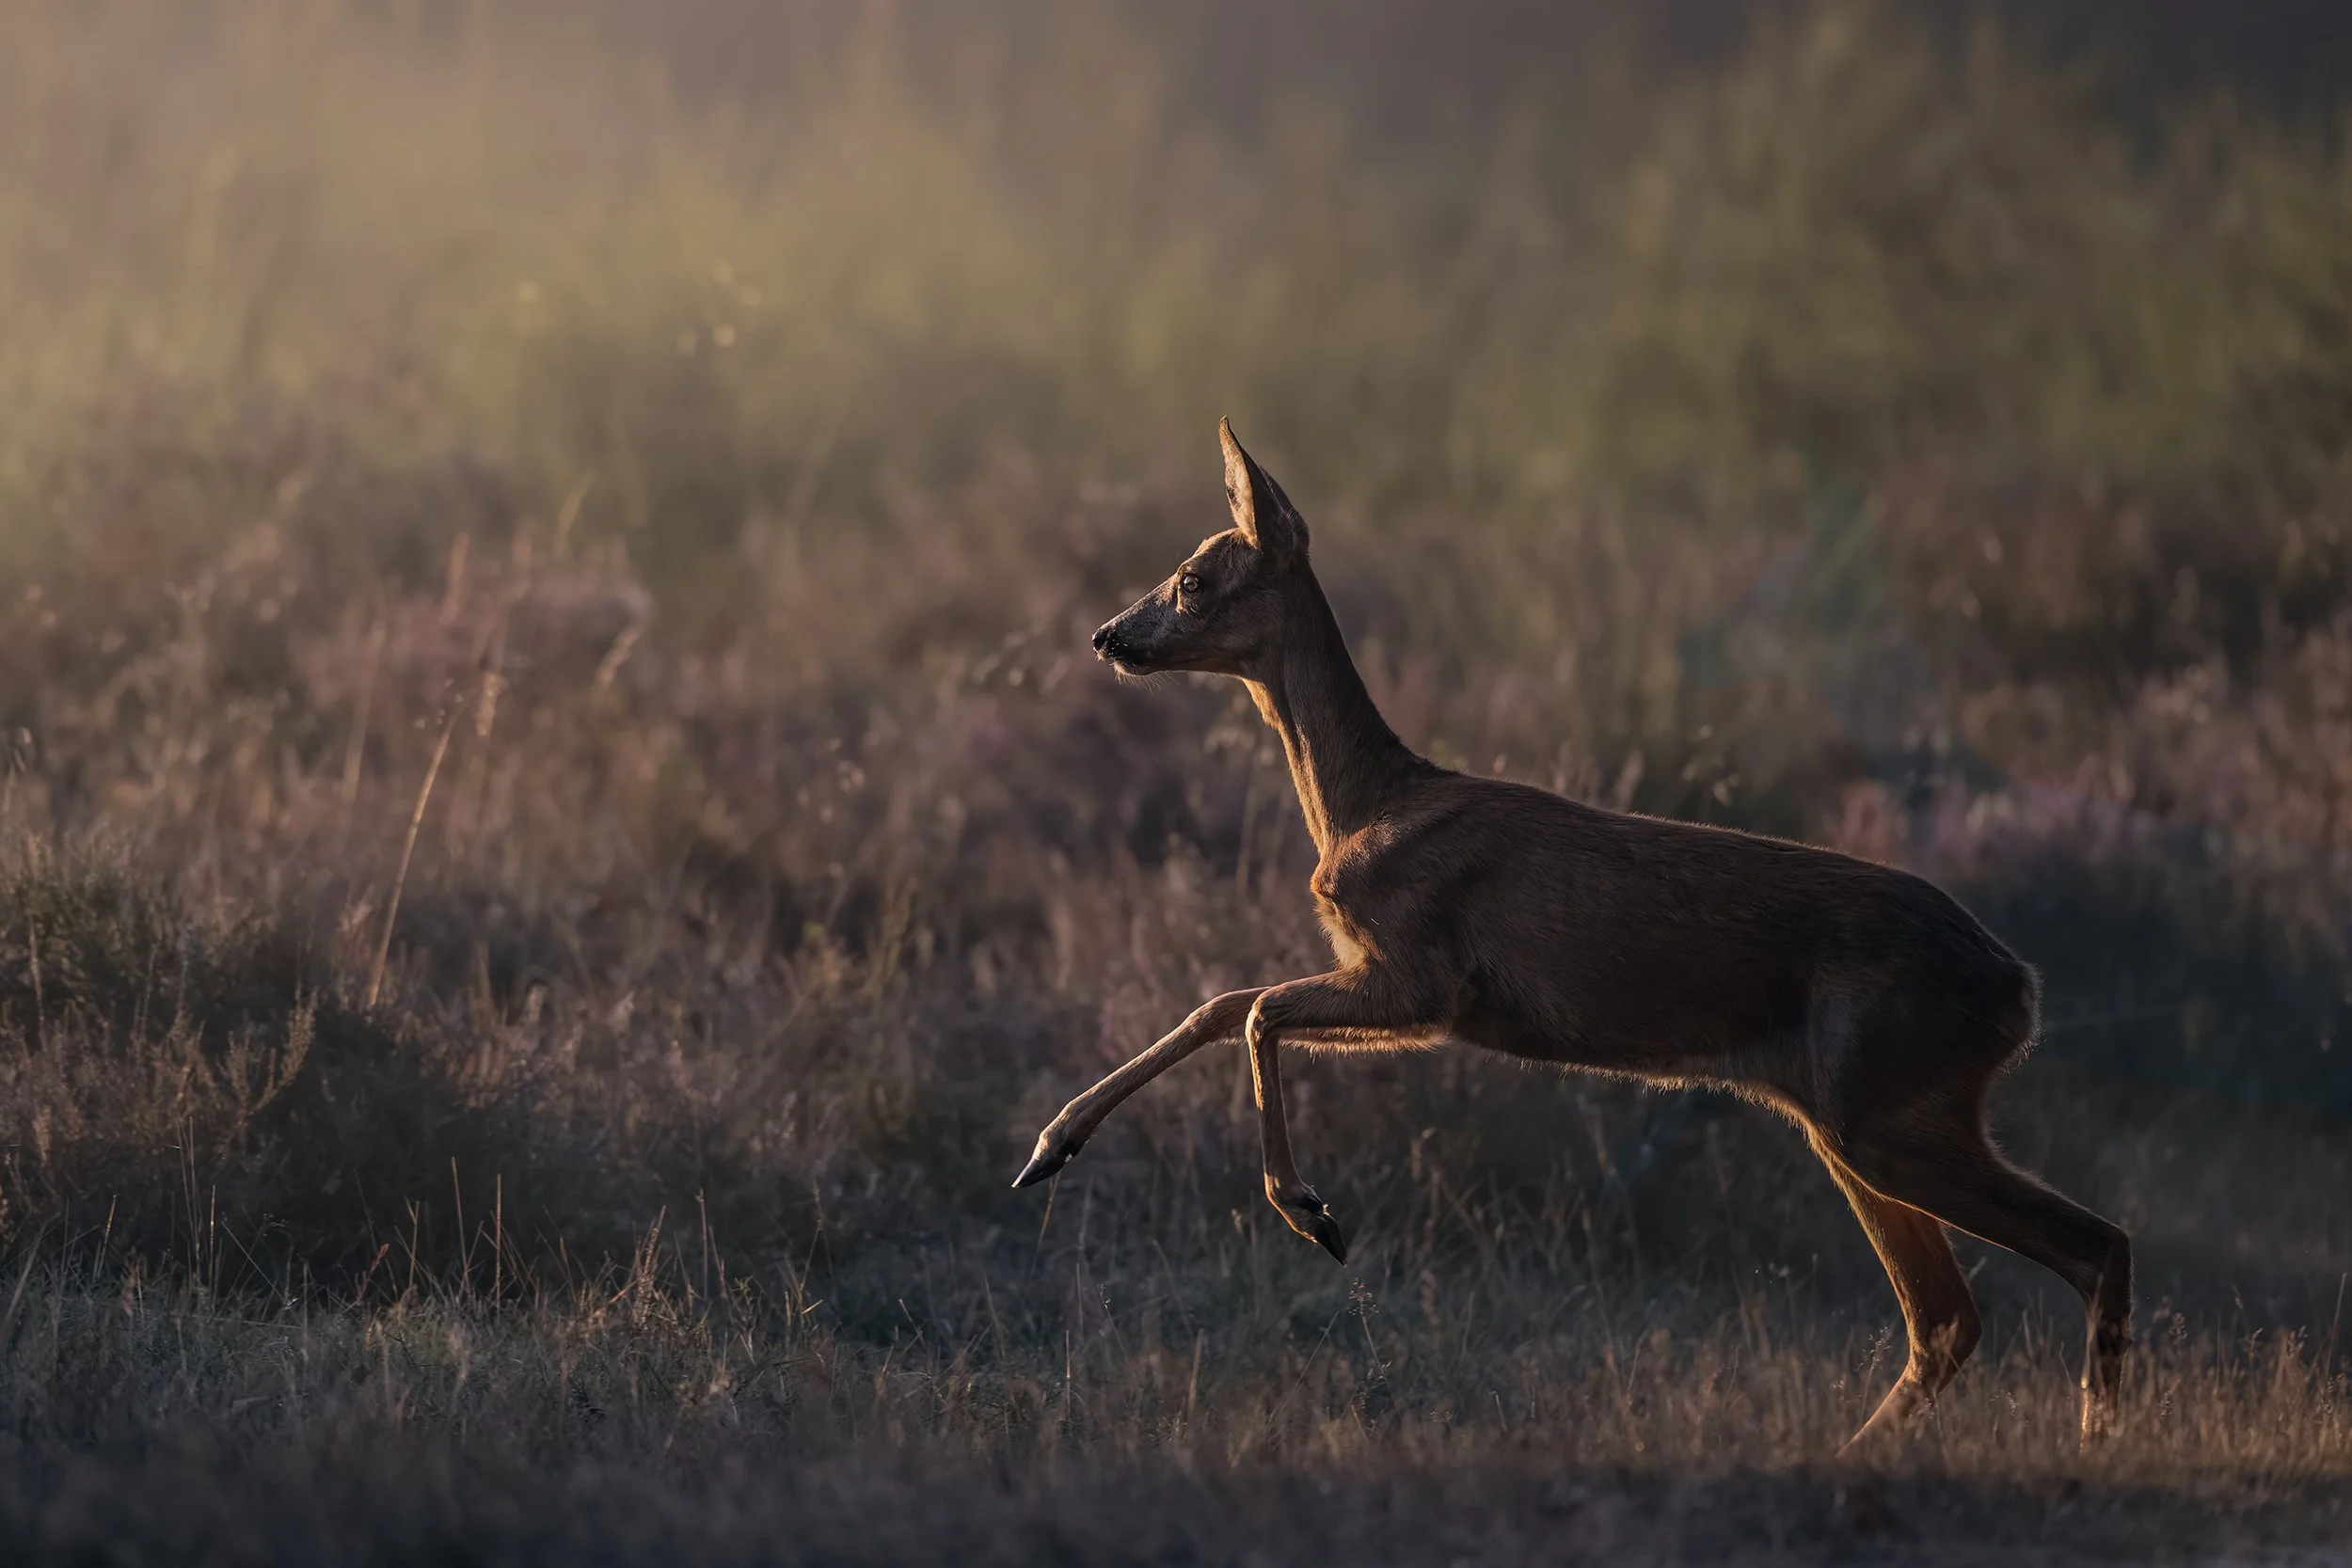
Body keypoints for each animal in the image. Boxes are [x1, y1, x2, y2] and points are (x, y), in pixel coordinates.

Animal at [1013, 420, 2133, 1449]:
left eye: (1193, 579)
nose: (1109, 635)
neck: (1365, 803)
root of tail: (2020, 987)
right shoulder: (1402, 986)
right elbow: (1225, 1004)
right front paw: (1050, 1146)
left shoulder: (1424, 974)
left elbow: (1252, 1013)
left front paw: (1309, 1210)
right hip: (1848, 1114)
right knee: (1947, 1315)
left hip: (1889, 1102)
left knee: (2093, 1245)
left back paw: (2094, 1438)